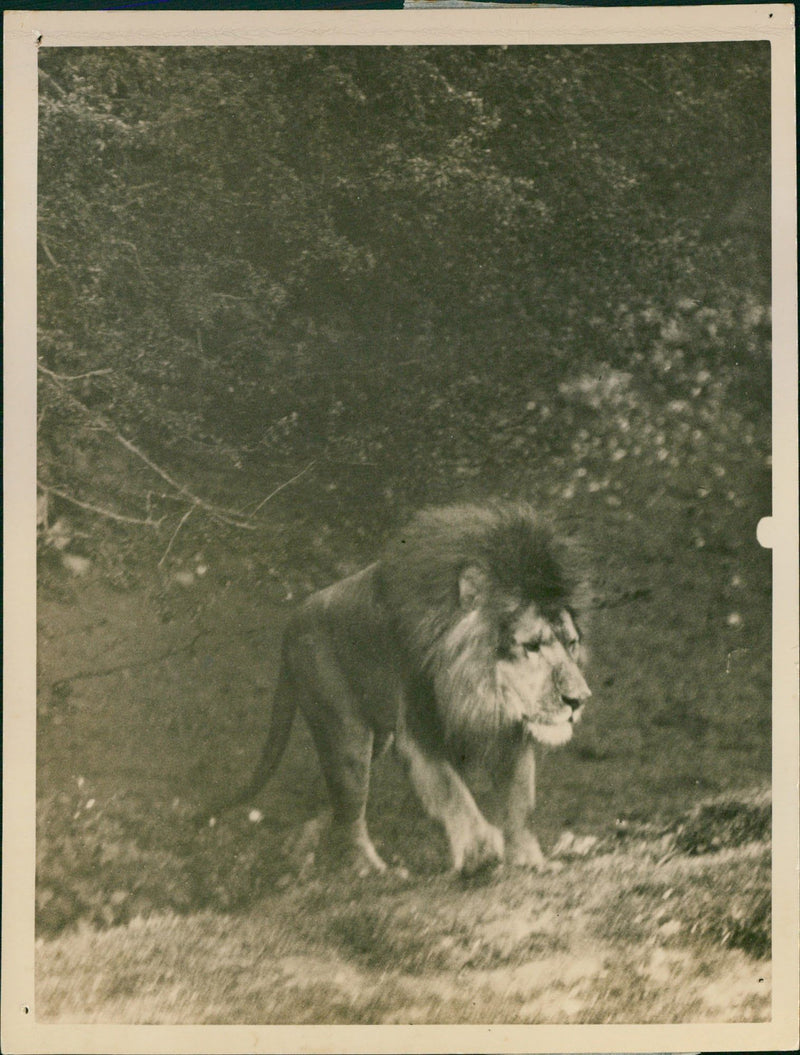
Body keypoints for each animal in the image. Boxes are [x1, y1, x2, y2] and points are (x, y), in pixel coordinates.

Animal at [216, 502, 591, 873]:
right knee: (350, 814)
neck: (476, 688)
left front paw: (530, 860)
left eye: (571, 643)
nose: (579, 699)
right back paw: (374, 872)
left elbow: (519, 803)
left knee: (333, 806)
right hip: (345, 734)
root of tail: (291, 624)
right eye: (531, 646)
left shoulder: (510, 731)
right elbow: (453, 794)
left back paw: (301, 847)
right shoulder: (419, 731)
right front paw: (481, 854)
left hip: (374, 741)